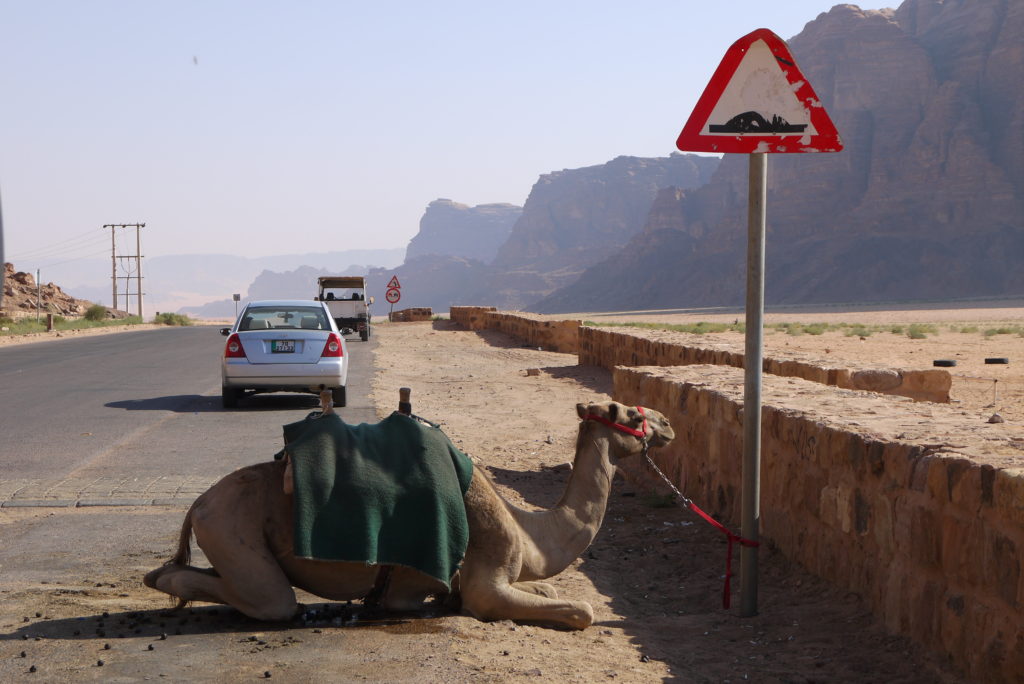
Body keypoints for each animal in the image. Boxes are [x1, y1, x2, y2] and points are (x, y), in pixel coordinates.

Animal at [142, 397, 671, 626]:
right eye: (631, 414)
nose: (666, 424)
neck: (526, 530)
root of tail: (198, 502)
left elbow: (552, 589)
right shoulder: (487, 578)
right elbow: (581, 610)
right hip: (230, 528)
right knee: (273, 601)